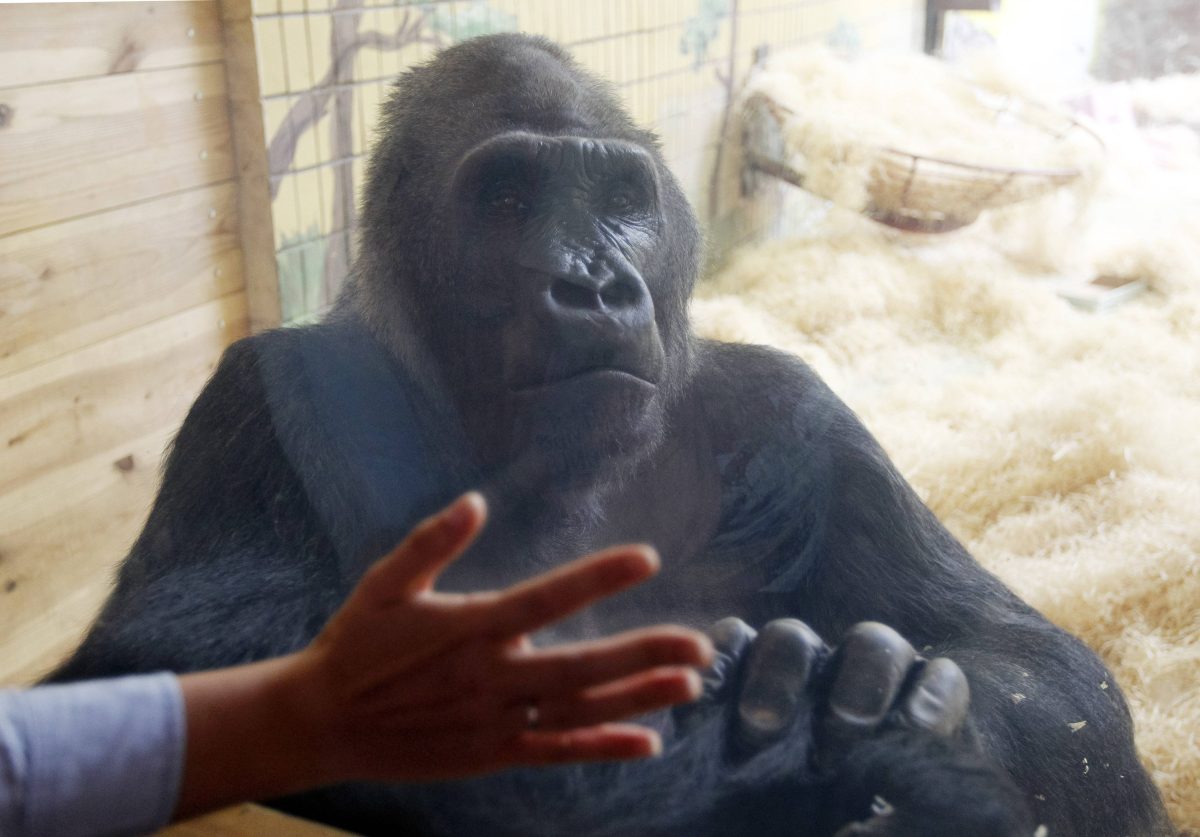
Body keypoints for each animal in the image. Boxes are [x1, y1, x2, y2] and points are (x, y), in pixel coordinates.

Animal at [51, 34, 1166, 834]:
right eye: (507, 197)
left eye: (623, 199)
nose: (593, 282)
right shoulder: (262, 396)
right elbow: (172, 675)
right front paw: (774, 756)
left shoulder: (799, 415)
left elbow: (1037, 665)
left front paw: (905, 721)